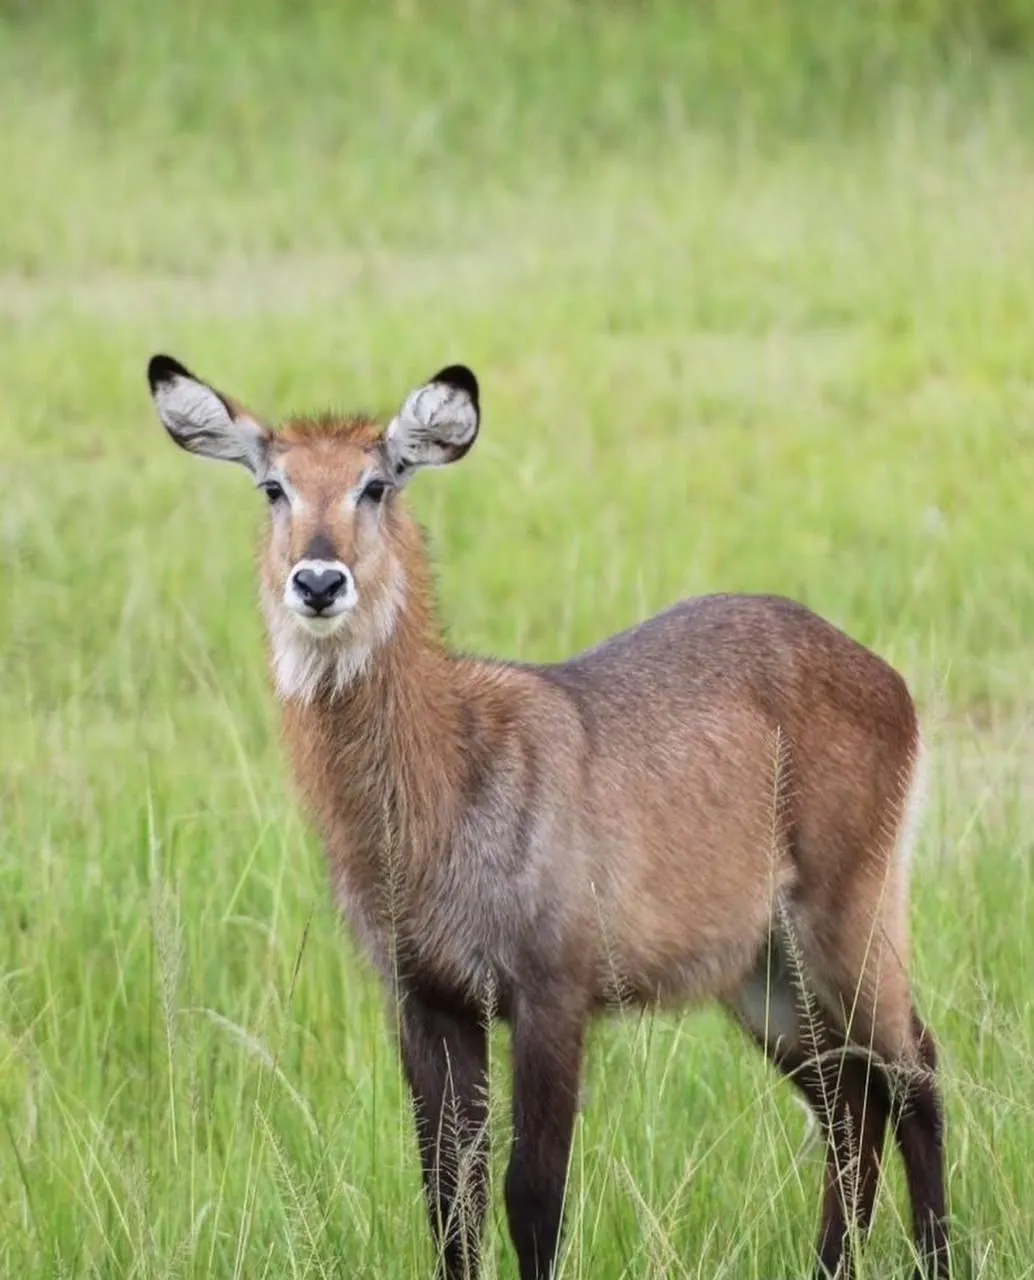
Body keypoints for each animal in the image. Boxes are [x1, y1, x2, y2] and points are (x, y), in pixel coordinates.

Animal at [147, 353, 950, 1280]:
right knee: (851, 1101)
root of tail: (886, 677)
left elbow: (533, 1196)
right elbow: (447, 1196)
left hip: (848, 919)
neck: (448, 780)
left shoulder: (552, 990)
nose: (317, 581)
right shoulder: (426, 996)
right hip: (761, 973)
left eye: (375, 484)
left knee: (916, 1075)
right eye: (273, 487)